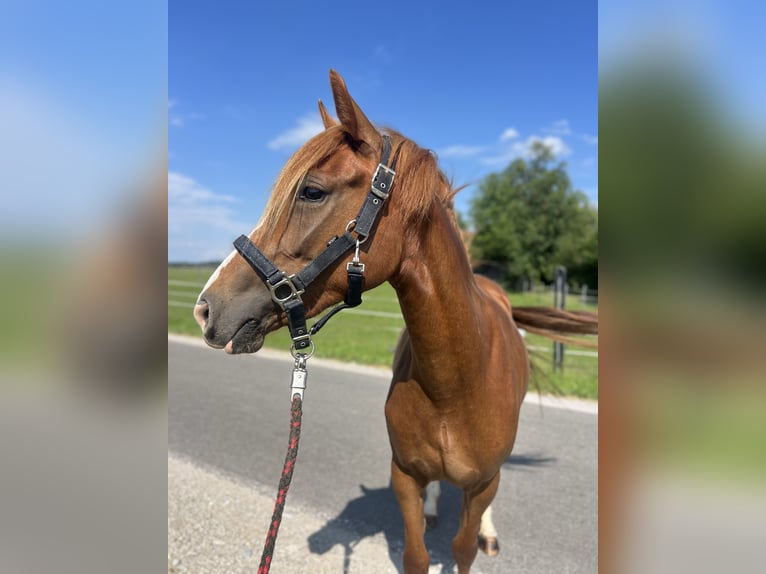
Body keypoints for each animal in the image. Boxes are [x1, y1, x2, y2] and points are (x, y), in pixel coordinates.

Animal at [193, 70, 597, 574]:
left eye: (312, 191)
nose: (206, 308)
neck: (456, 383)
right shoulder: (404, 476)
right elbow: (416, 553)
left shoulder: (482, 484)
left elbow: (463, 550)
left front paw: (478, 537)